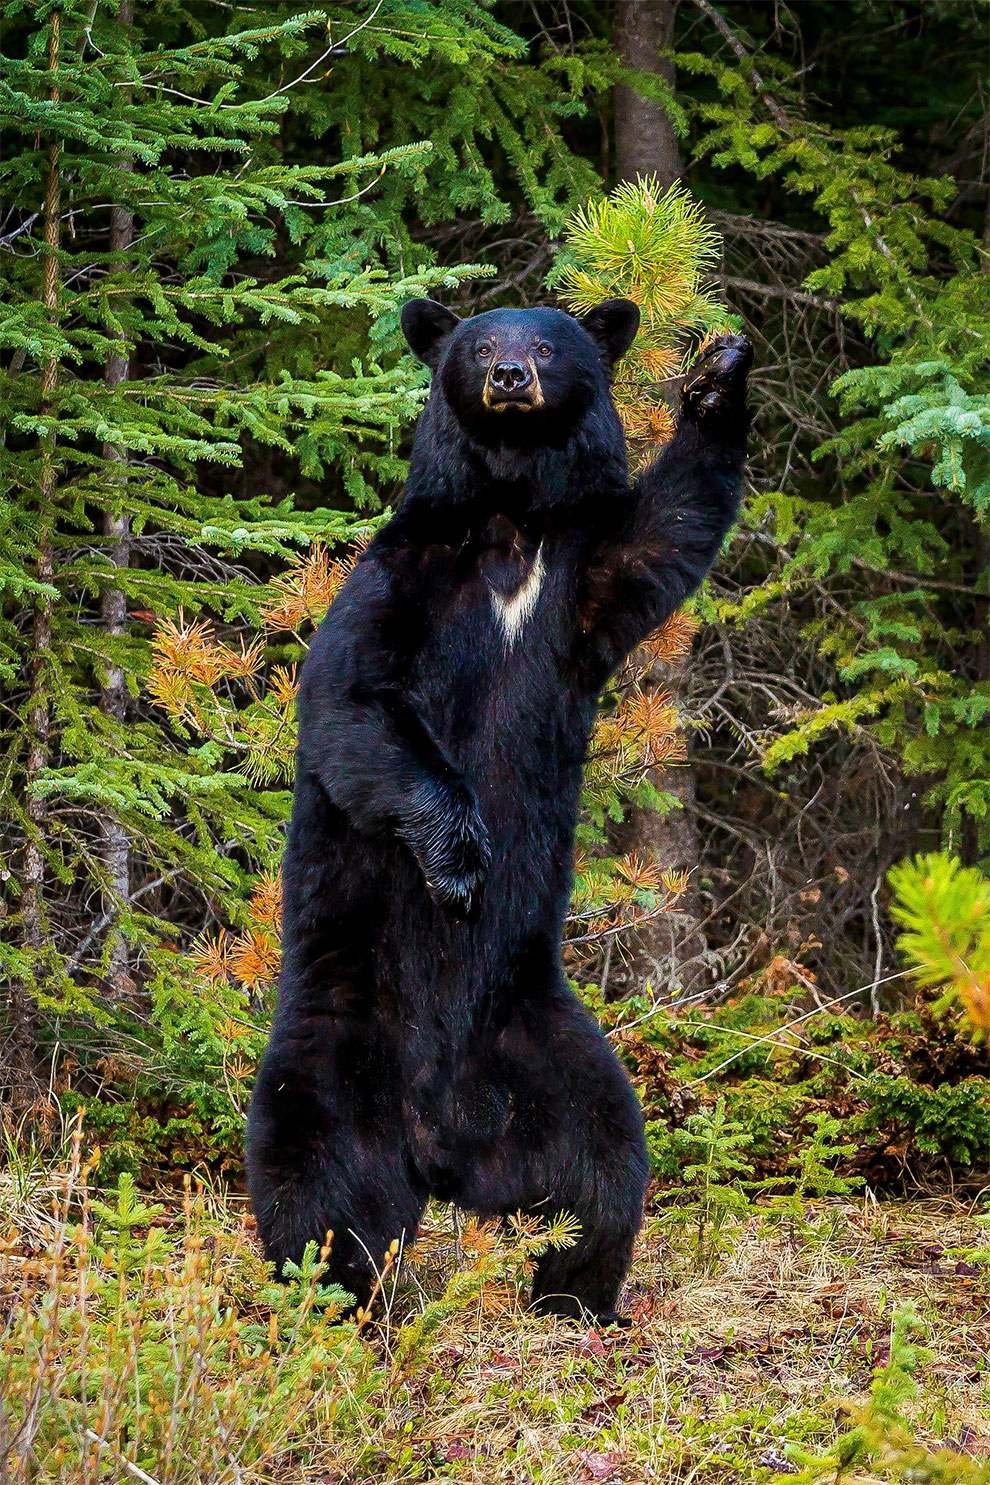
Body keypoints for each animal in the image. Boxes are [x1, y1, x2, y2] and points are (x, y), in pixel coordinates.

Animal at [247, 301, 751, 1324]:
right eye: (480, 343)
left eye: (548, 343)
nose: (510, 377)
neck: (511, 523)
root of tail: (440, 1144)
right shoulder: (401, 578)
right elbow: (354, 701)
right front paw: (459, 859)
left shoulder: (582, 576)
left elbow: (666, 531)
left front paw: (720, 374)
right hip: (335, 1048)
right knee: (317, 1192)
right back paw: (338, 1305)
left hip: (544, 1046)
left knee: (604, 1167)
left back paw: (580, 1297)